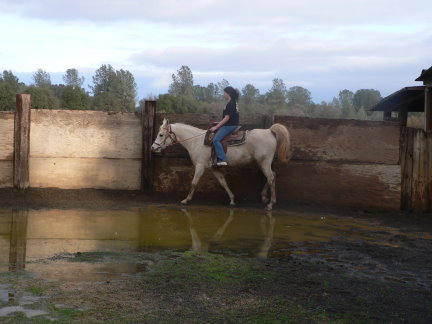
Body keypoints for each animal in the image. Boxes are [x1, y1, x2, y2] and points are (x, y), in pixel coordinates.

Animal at [151, 118, 290, 210]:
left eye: (161, 134)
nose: (153, 148)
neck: (196, 141)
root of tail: (269, 131)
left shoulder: (200, 166)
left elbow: (194, 183)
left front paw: (186, 200)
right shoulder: (214, 168)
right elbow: (223, 183)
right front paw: (232, 200)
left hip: (264, 162)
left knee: (271, 177)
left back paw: (271, 203)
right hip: (262, 163)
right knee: (273, 176)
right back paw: (264, 197)